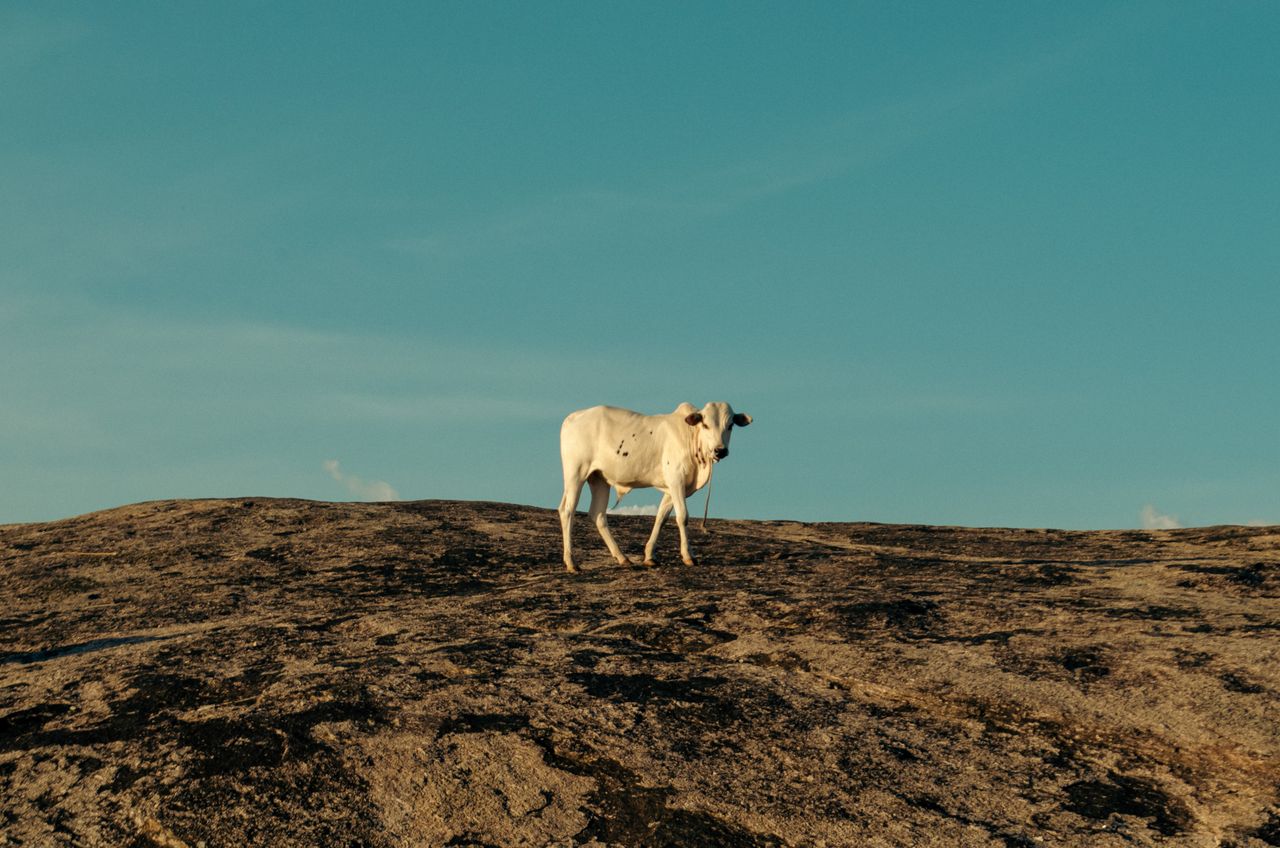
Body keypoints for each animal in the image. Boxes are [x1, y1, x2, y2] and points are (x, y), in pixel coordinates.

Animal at [558, 402, 752, 572]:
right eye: (705, 424)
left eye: (730, 425)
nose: (720, 450)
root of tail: (573, 417)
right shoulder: (676, 480)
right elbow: (683, 517)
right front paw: (688, 555)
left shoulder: (672, 488)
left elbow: (661, 517)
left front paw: (650, 555)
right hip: (576, 473)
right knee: (567, 511)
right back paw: (571, 562)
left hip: (599, 479)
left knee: (597, 514)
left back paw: (622, 558)